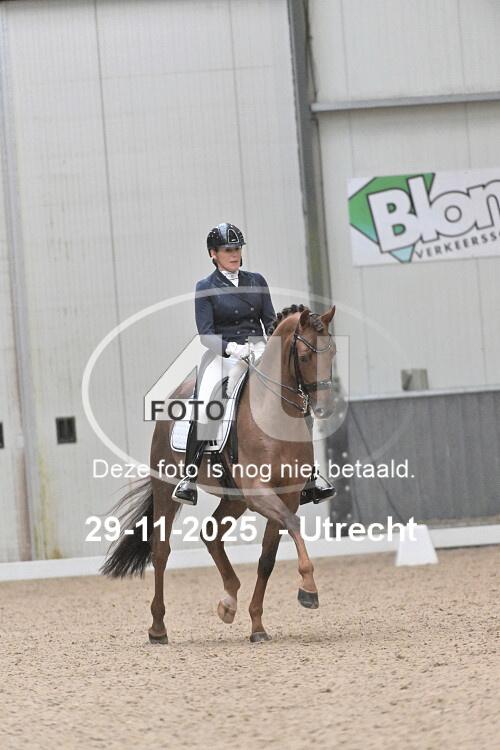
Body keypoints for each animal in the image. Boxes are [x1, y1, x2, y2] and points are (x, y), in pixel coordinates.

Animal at [101, 302, 337, 643]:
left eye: (332, 352)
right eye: (305, 357)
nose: (325, 408)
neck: (273, 417)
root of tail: (176, 396)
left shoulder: (288, 495)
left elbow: (267, 558)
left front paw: (257, 626)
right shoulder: (260, 493)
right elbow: (292, 525)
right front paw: (308, 589)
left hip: (234, 498)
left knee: (210, 533)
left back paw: (229, 601)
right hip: (166, 488)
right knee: (160, 550)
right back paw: (158, 628)